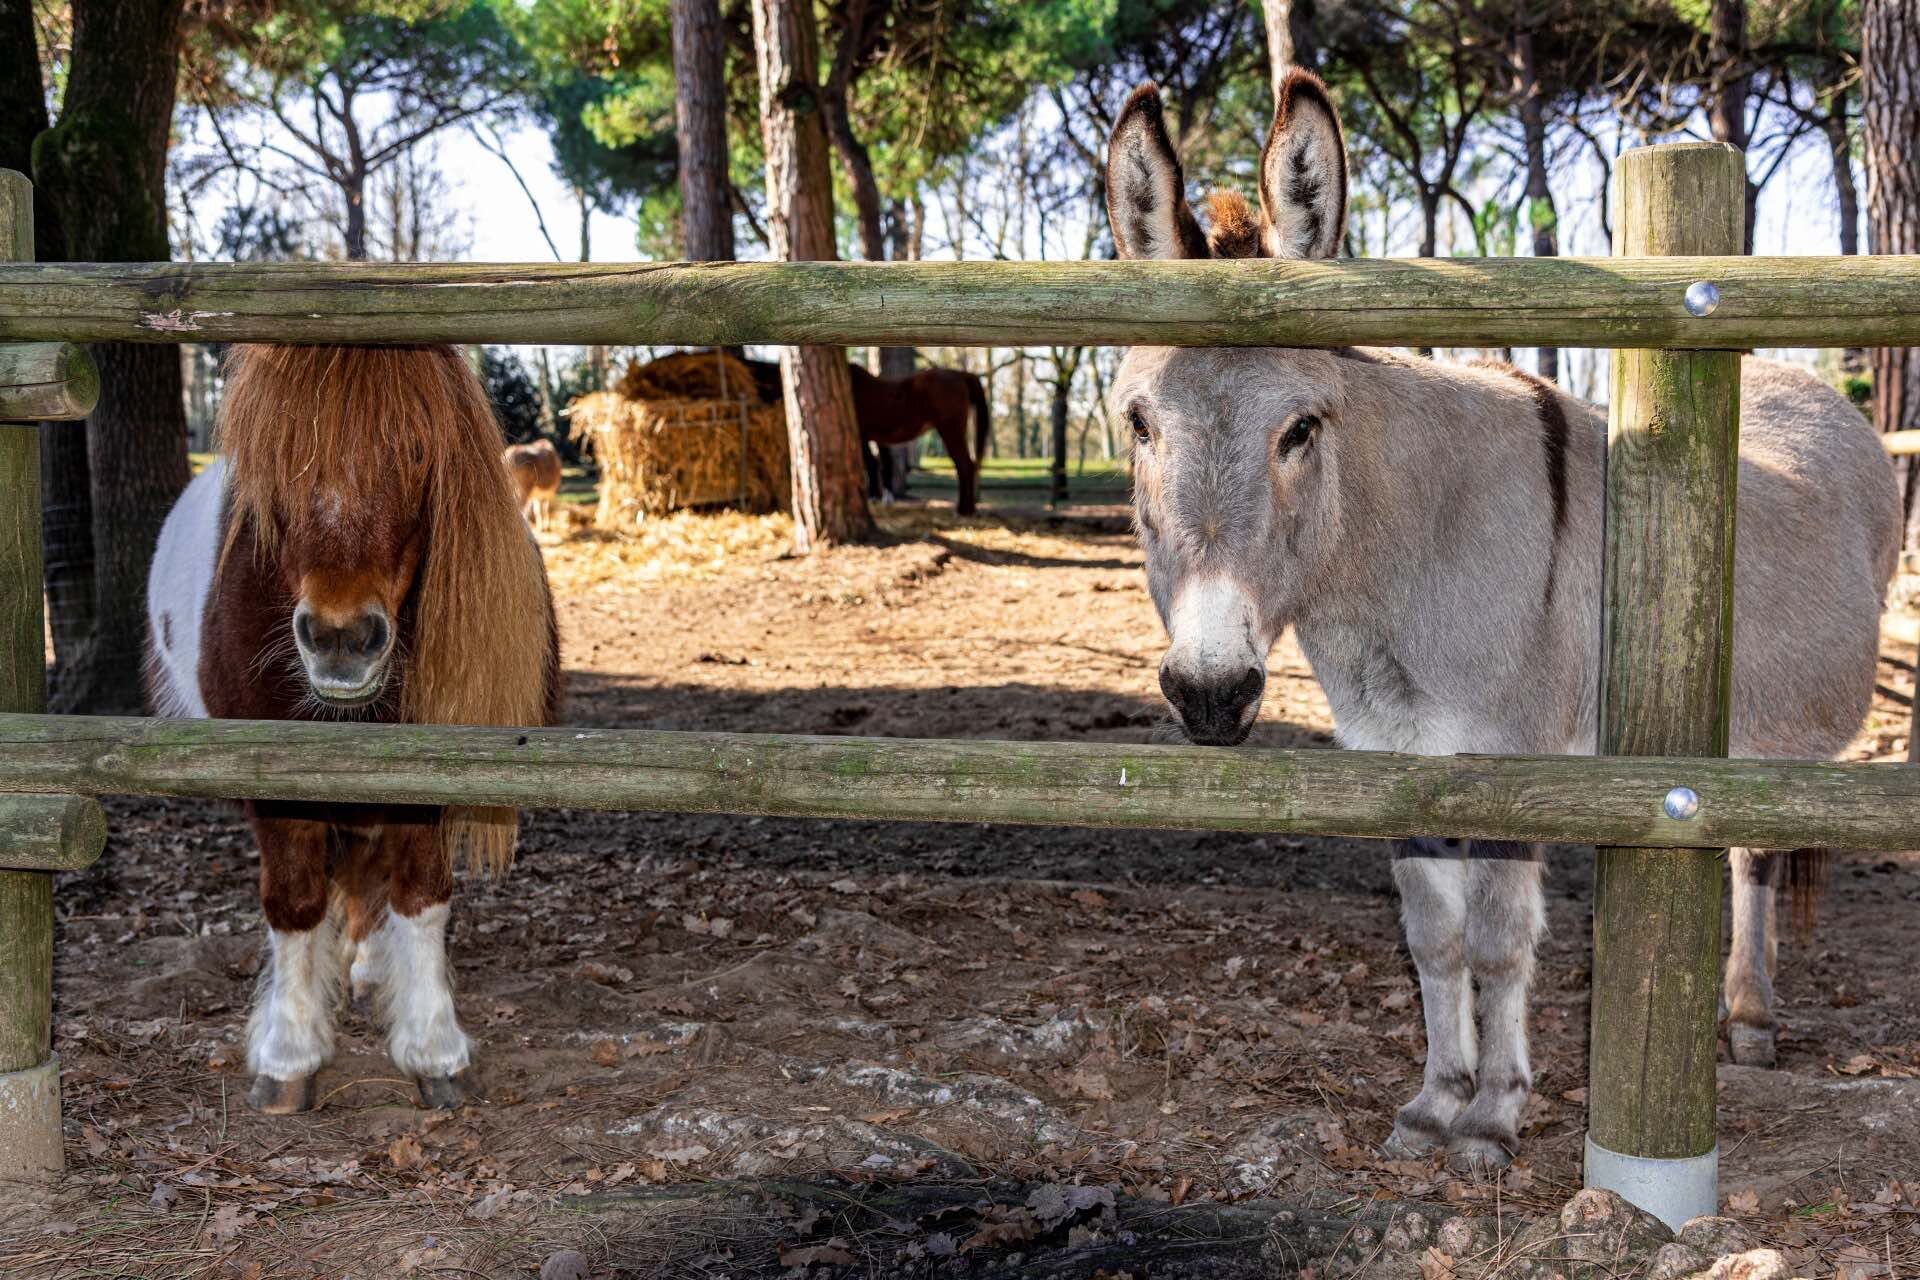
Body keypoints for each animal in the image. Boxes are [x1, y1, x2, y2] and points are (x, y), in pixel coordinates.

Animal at [145, 345, 560, 1113]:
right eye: (276, 457)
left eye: (419, 451)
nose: (341, 639)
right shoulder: (273, 788)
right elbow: (295, 905)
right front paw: (288, 1055)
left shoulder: (427, 784)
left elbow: (419, 897)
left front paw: (435, 1051)